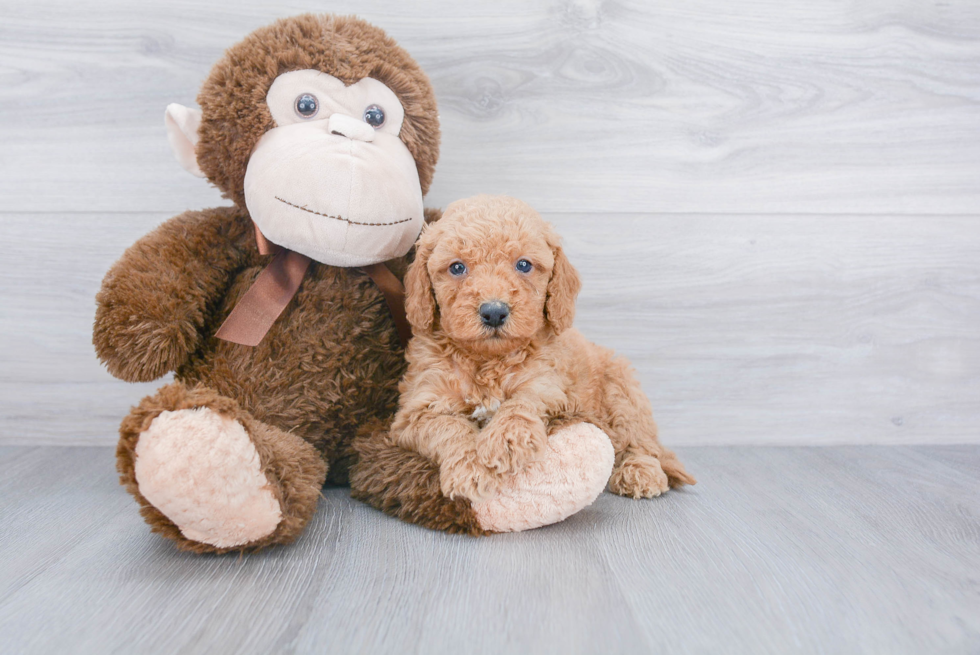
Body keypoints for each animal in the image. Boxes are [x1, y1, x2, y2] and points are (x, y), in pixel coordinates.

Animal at [390, 195, 696, 502]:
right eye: (456, 268)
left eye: (524, 265)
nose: (494, 312)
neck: (487, 361)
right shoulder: (416, 412)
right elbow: (449, 427)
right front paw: (471, 470)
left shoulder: (546, 382)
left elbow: (521, 402)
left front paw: (507, 440)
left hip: (621, 390)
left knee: (640, 442)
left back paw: (640, 473)